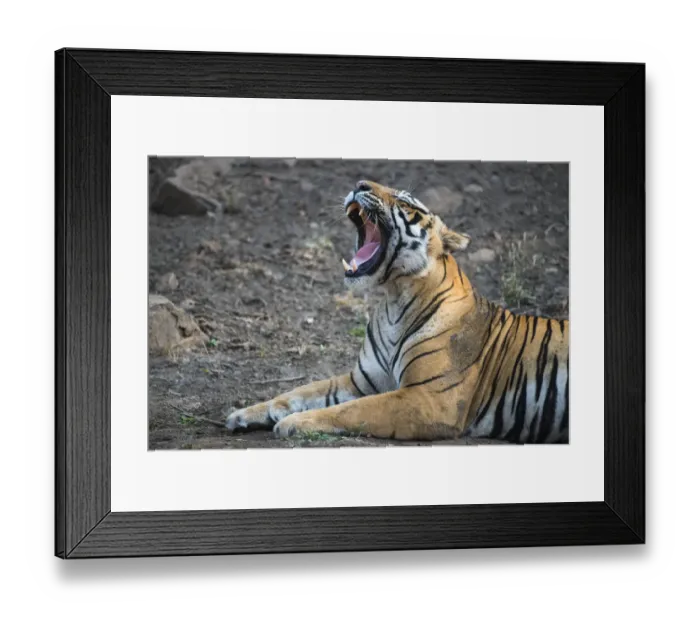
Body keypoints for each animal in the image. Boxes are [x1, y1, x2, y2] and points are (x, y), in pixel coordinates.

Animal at [225, 180, 569, 444]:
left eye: (404, 202)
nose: (360, 184)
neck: (394, 299)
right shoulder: (362, 382)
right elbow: (302, 390)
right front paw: (245, 413)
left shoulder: (429, 398)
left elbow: (353, 410)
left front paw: (295, 422)